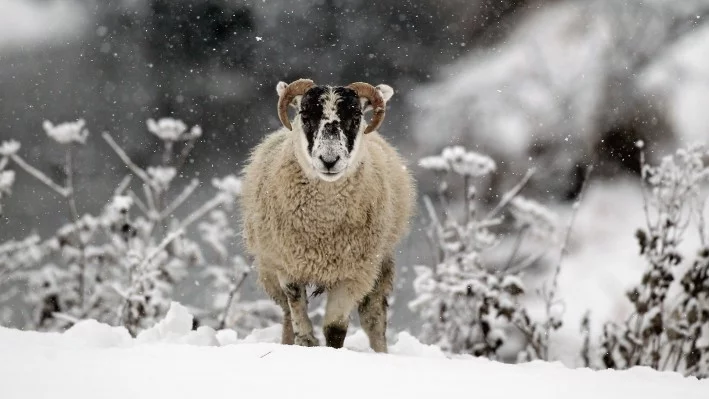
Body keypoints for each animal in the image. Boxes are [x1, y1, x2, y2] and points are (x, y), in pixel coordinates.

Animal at [238, 78, 414, 354]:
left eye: (355, 117)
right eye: (305, 115)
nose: (329, 160)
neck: (322, 228)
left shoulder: (354, 274)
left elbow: (335, 329)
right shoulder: (288, 264)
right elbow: (298, 314)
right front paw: (306, 342)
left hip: (380, 264)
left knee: (374, 318)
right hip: (268, 268)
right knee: (286, 314)